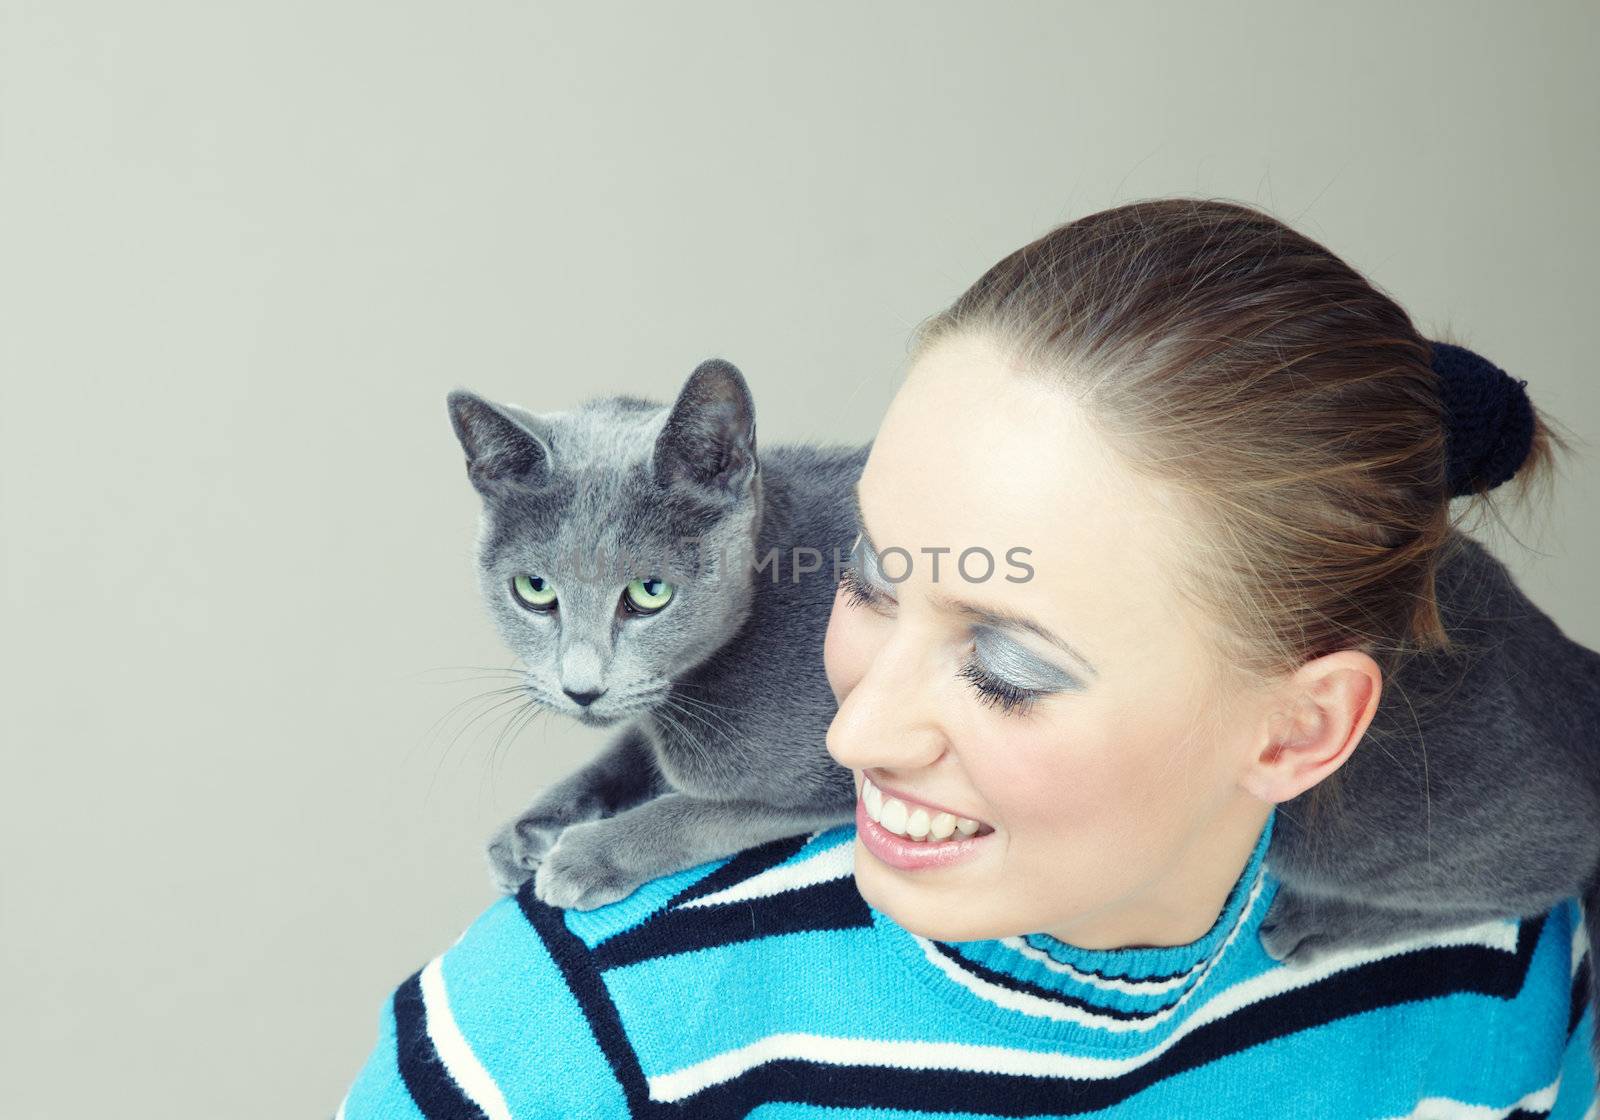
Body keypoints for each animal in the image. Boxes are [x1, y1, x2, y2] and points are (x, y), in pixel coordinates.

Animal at [444, 358, 870, 908]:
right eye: (534, 589)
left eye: (650, 592)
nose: (581, 690)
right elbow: (621, 751)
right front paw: (527, 828)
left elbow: (706, 812)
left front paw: (586, 854)